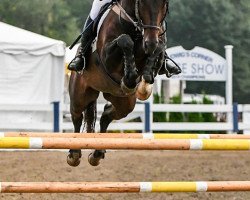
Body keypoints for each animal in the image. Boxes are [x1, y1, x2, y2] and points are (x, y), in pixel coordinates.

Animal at [68, 0, 170, 166]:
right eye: (142, 3)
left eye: (164, 5)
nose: (150, 43)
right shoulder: (107, 57)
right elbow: (124, 40)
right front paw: (130, 79)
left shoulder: (155, 43)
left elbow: (160, 48)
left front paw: (144, 83)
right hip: (80, 95)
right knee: (77, 116)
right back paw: (74, 154)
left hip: (124, 102)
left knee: (106, 115)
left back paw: (97, 153)